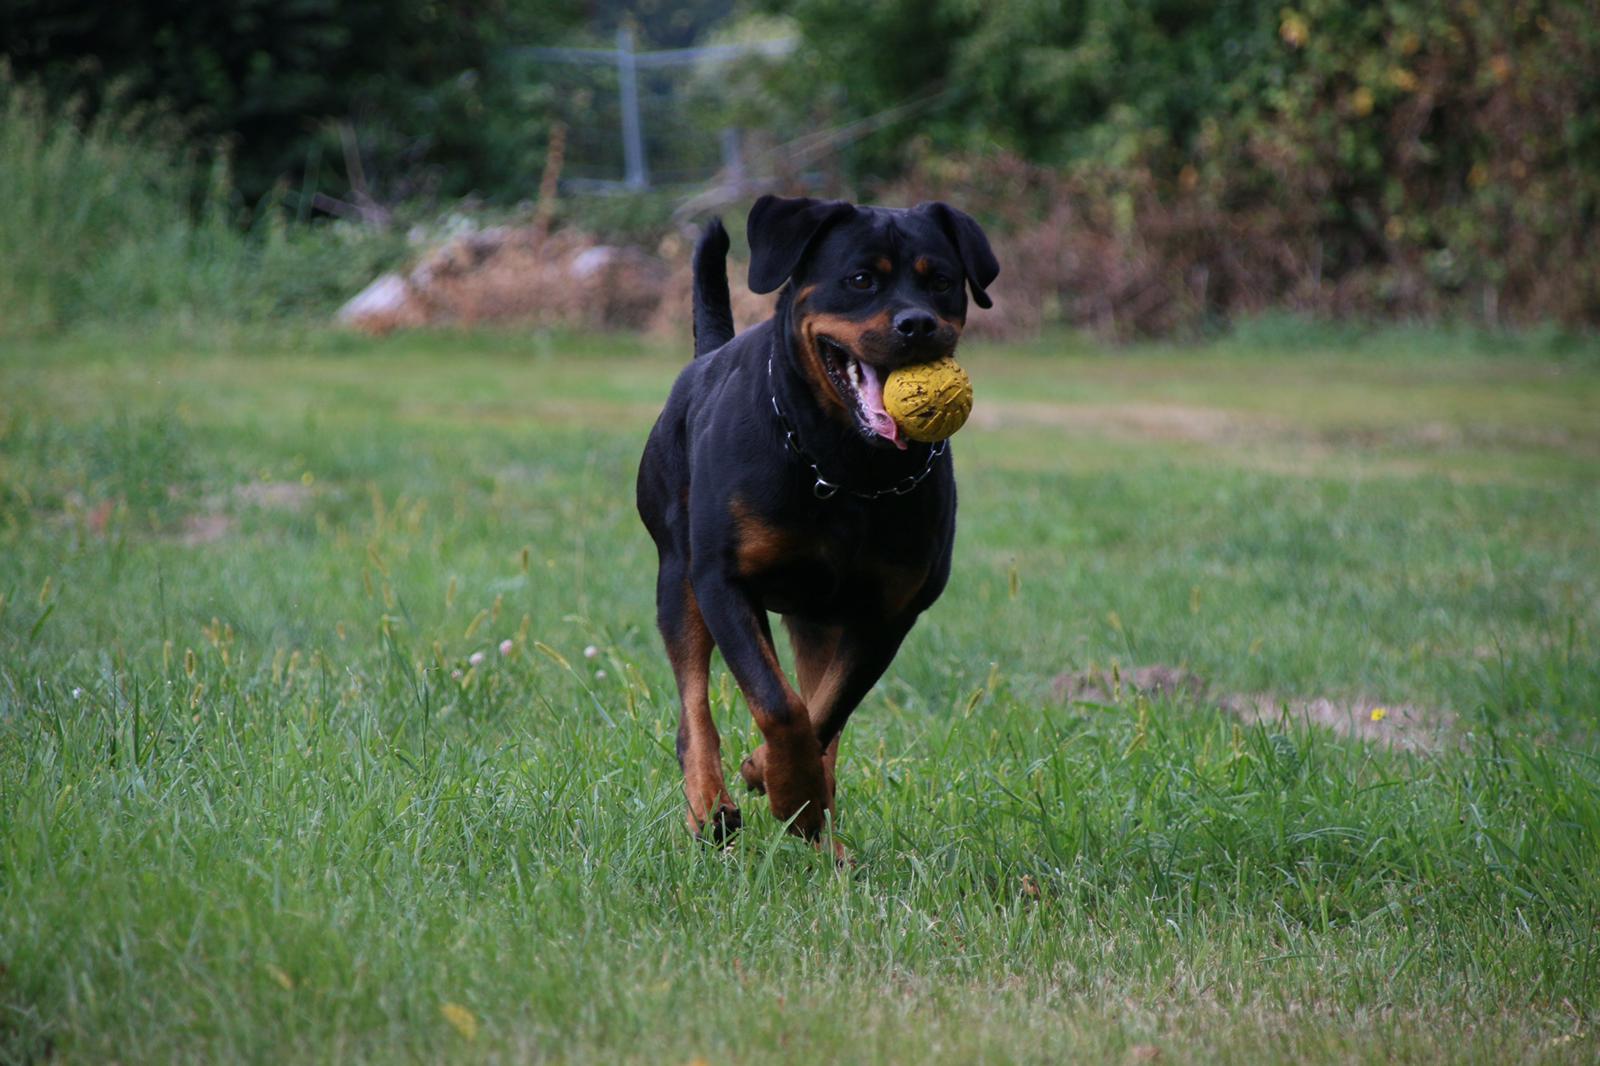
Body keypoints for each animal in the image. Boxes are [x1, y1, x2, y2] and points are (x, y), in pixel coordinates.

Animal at [636, 195, 999, 856]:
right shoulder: (724, 582)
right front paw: (779, 785)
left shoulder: (890, 609)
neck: (844, 465)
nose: (918, 324)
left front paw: (781, 784)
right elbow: (779, 703)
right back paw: (711, 808)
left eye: (941, 282)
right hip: (677, 575)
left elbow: (825, 711)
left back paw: (821, 838)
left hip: (815, 617)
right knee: (692, 705)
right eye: (860, 279)